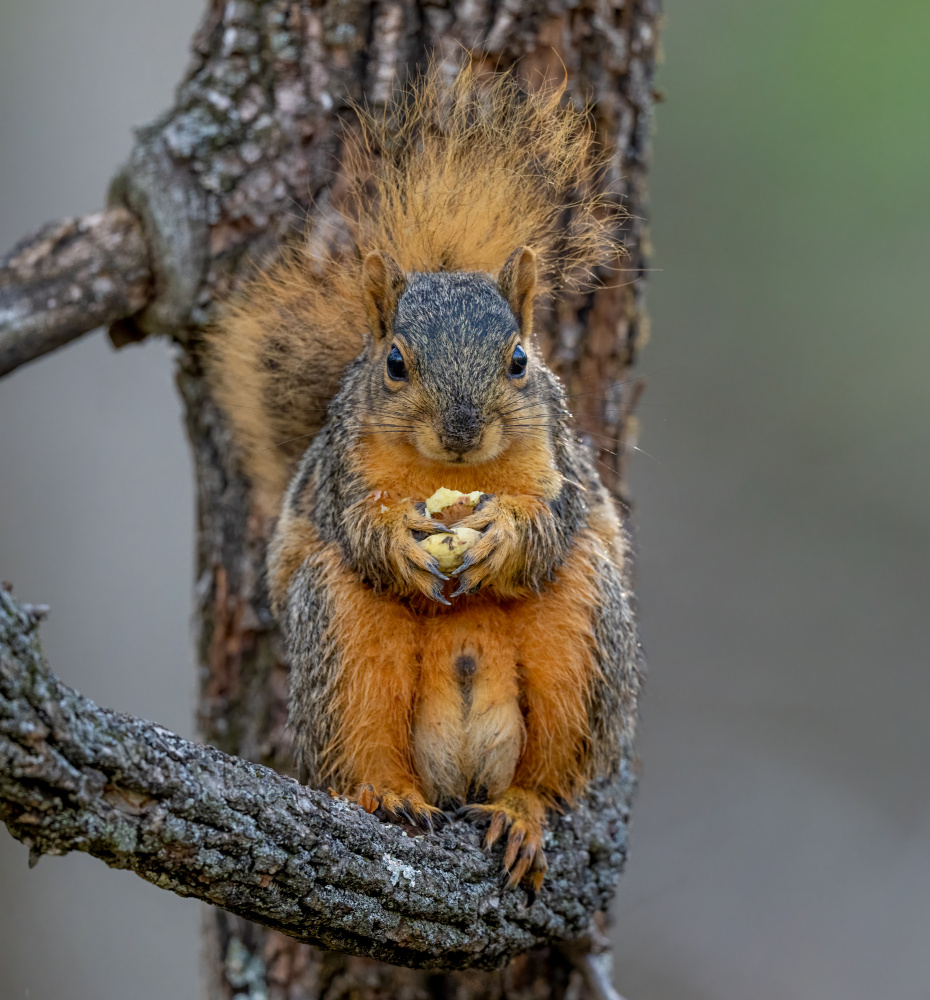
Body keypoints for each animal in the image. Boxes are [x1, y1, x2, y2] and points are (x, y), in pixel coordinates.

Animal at [209, 66, 640, 896]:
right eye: (395, 363)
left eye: (520, 359)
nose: (463, 430)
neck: (451, 473)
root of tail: (460, 771)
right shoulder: (341, 473)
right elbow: (357, 527)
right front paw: (402, 541)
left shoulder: (563, 465)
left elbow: (550, 525)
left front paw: (501, 533)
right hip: (342, 631)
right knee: (359, 734)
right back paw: (390, 794)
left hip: (584, 630)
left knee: (551, 770)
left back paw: (521, 811)